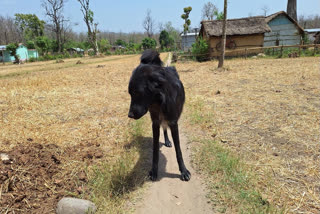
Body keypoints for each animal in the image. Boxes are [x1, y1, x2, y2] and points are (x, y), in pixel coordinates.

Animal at [129, 50, 191, 182]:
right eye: (130, 93)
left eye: (137, 92)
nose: (129, 115)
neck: (159, 101)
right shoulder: (155, 122)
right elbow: (155, 150)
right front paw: (154, 171)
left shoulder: (173, 122)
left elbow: (178, 150)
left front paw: (183, 171)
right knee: (164, 129)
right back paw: (166, 140)